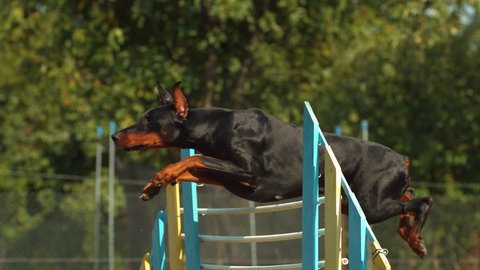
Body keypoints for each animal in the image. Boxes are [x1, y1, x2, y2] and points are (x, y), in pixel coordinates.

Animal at [113, 80, 436, 258]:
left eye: (148, 120)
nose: (115, 136)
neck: (216, 126)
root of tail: (402, 158)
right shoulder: (229, 177)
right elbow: (192, 165)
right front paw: (154, 184)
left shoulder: (249, 173)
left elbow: (192, 159)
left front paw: (161, 177)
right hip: (357, 201)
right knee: (408, 197)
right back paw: (412, 236)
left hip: (369, 205)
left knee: (424, 201)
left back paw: (416, 239)